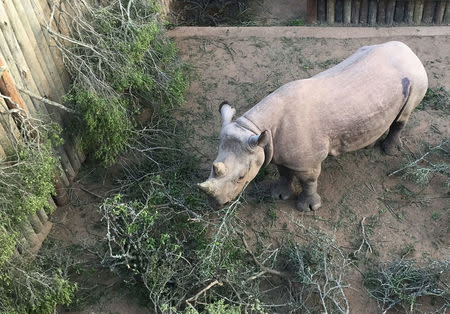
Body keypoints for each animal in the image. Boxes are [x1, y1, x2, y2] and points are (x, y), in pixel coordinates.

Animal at [199, 40, 428, 210]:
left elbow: (308, 180)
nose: (215, 204)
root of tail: (410, 51)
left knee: (404, 115)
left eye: (241, 177)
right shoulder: (277, 148)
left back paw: (389, 151)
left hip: (416, 77)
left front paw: (308, 208)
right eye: (213, 165)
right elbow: (284, 172)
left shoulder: (307, 161)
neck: (253, 128)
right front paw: (278, 195)